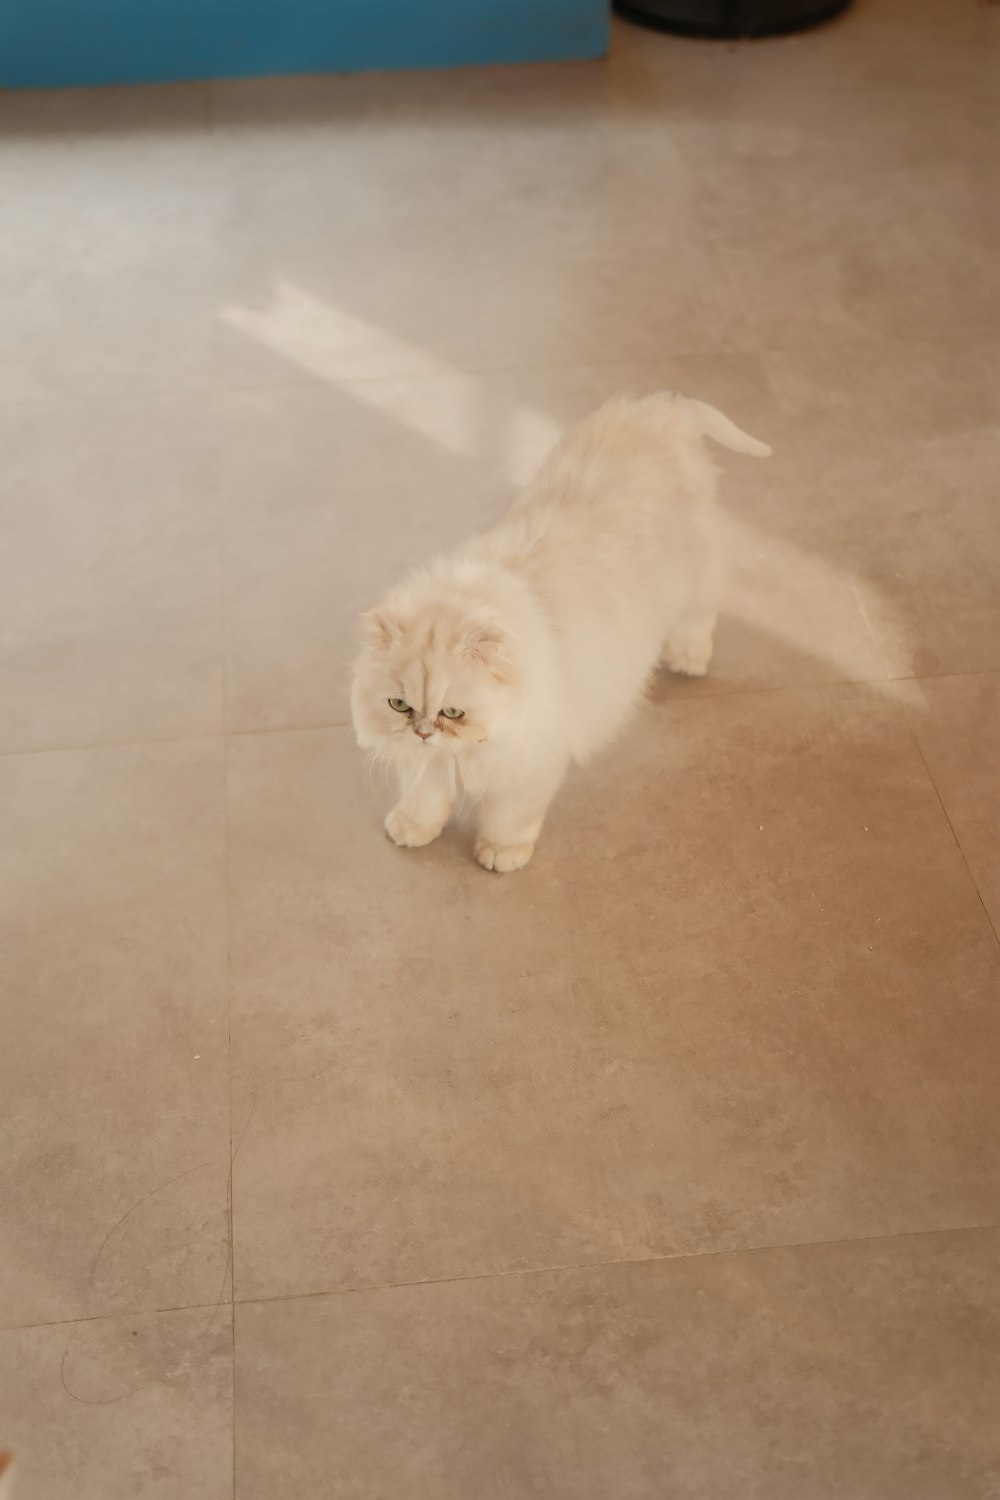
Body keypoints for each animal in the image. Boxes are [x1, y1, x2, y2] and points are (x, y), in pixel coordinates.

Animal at [347, 393, 773, 876]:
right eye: (400, 706)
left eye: (452, 713)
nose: (422, 732)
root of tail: (665, 409)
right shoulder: (427, 763)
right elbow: (424, 795)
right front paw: (411, 829)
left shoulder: (532, 762)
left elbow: (510, 817)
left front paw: (501, 855)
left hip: (695, 572)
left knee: (699, 614)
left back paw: (688, 659)